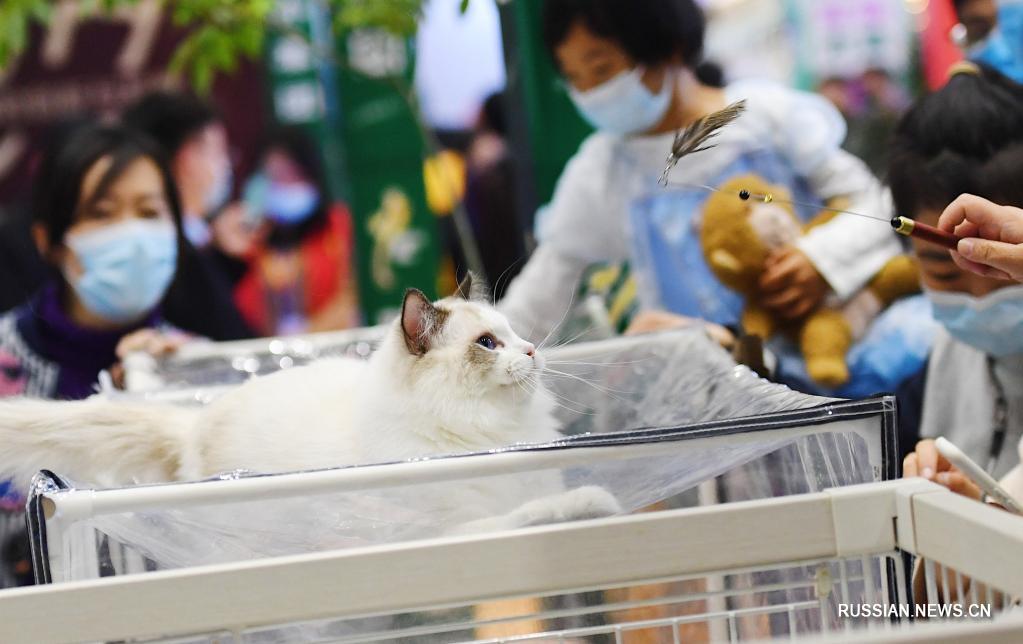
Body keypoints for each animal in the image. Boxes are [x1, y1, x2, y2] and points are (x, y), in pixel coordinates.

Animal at [0, 278, 617, 535]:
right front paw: (599, 501)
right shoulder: (460, 526)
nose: (532, 350)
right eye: (488, 344)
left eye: (514, 333)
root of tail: (195, 421)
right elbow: (537, 511)